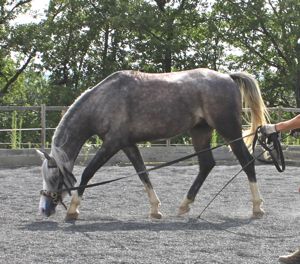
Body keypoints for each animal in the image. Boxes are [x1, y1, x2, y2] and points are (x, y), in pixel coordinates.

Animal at [36, 67, 268, 220]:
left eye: (54, 176)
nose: (44, 209)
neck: (104, 100)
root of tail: (228, 77)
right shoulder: (127, 144)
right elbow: (142, 173)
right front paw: (155, 209)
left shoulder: (112, 143)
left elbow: (88, 172)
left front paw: (73, 209)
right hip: (200, 132)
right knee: (206, 164)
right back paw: (184, 206)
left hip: (228, 130)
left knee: (246, 161)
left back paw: (257, 208)